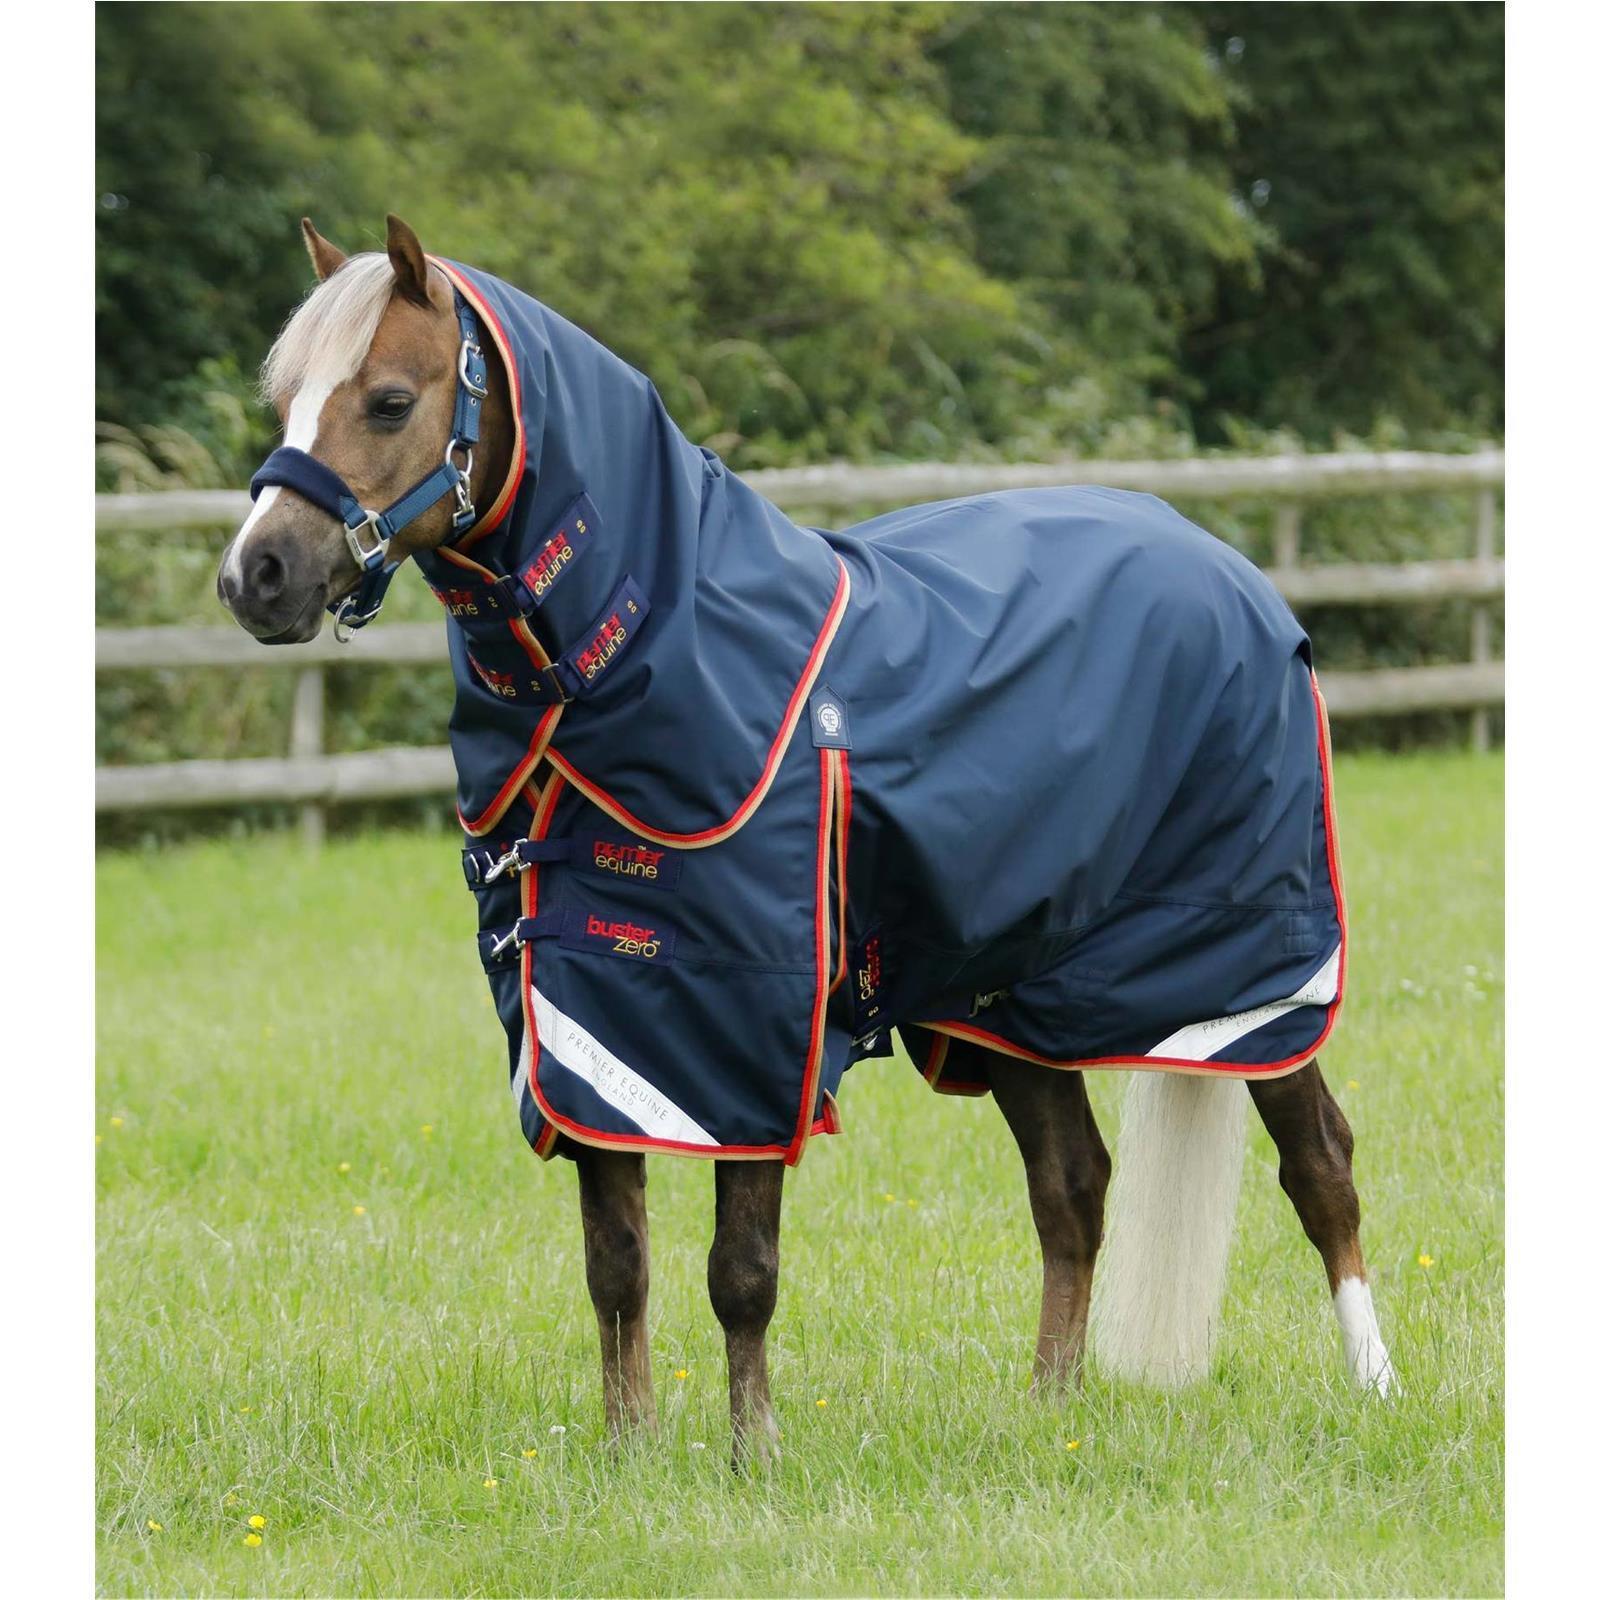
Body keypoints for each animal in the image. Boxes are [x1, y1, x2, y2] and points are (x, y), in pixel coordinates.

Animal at [217, 213, 1395, 1466]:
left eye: (391, 400)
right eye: (282, 396)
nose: (256, 574)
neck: (651, 672)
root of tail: (1237, 577)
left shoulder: (746, 1031)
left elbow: (740, 1268)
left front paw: (752, 1455)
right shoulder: (592, 1026)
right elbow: (616, 1266)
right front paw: (629, 1453)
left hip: (1250, 975)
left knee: (1319, 1163)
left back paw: (1374, 1385)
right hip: (1011, 1001)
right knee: (1073, 1185)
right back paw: (1050, 1411)